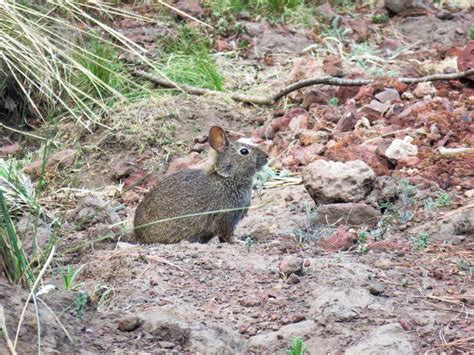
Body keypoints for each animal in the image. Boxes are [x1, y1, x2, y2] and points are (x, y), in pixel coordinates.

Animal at [133, 126, 268, 245]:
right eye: (244, 151)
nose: (266, 156)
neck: (227, 178)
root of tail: (137, 234)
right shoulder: (225, 218)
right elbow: (227, 235)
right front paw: (239, 242)